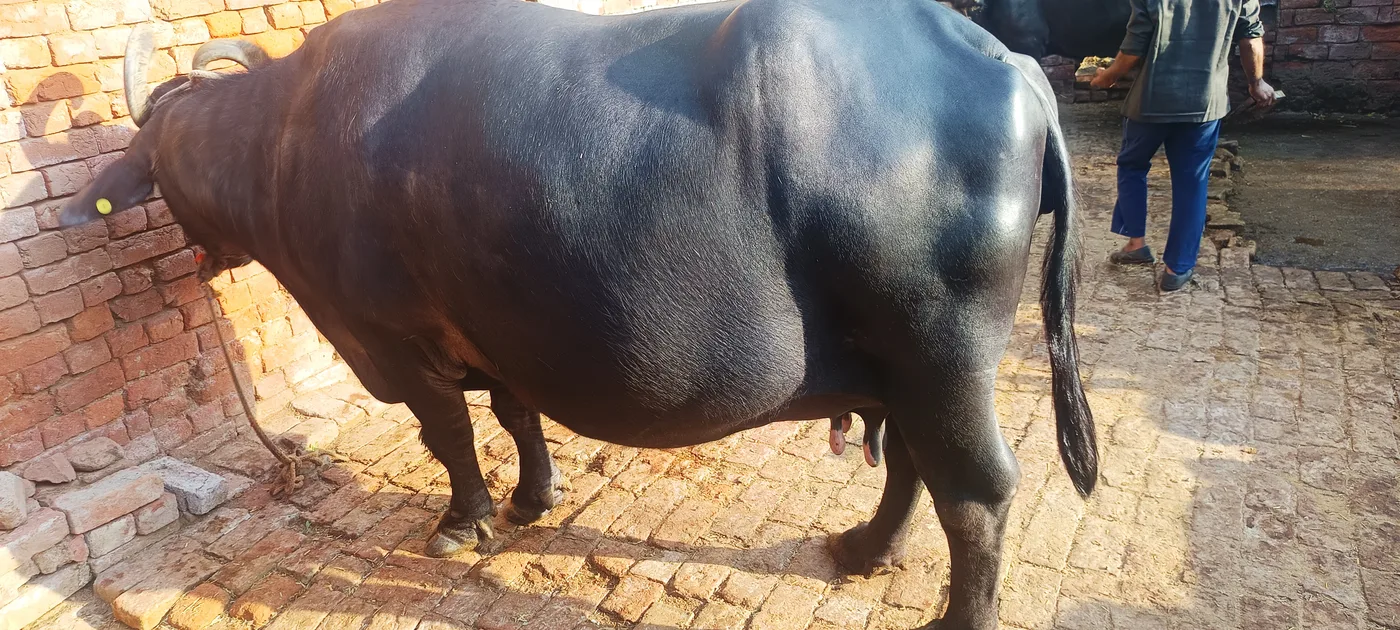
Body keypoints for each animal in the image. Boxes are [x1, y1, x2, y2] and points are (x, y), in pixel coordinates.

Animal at [64, 0, 1097, 626]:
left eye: (160, 168)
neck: (281, 142)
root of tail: (1009, 66)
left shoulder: (401, 341)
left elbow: (449, 436)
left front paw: (463, 521)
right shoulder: (496, 333)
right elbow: (516, 414)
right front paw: (533, 499)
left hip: (940, 352)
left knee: (977, 494)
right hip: (904, 365)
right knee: (916, 464)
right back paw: (863, 550)